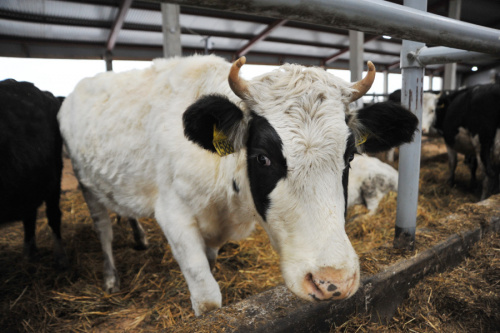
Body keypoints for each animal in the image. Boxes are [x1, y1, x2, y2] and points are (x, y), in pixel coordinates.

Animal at [57, 54, 418, 314]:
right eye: (263, 158)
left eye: (350, 155)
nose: (333, 281)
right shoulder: (174, 216)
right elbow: (207, 298)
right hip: (86, 184)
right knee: (103, 229)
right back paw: (110, 278)